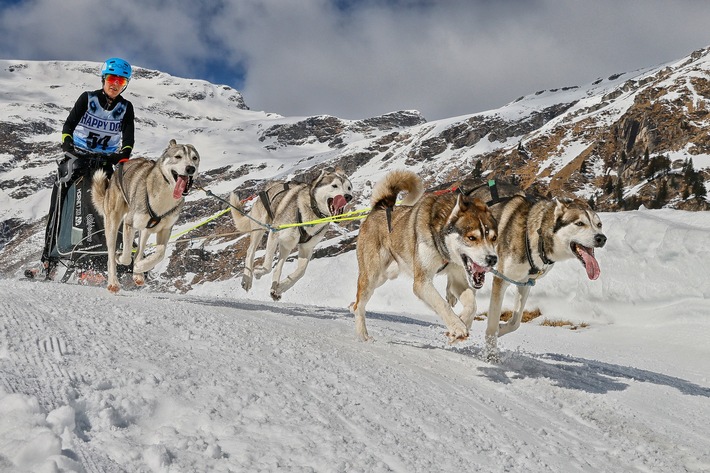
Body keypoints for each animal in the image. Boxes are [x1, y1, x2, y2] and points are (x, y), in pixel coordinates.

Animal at [92, 138, 200, 292]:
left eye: (194, 158)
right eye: (178, 156)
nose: (191, 168)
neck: (165, 195)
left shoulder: (165, 229)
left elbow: (160, 253)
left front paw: (140, 267)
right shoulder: (129, 223)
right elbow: (126, 256)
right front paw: (122, 258)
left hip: (146, 230)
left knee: (139, 251)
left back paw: (138, 273)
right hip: (113, 223)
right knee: (111, 255)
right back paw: (113, 282)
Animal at [232, 167, 354, 298]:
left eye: (348, 188)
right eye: (334, 185)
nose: (348, 197)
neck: (312, 213)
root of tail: (271, 185)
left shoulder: (306, 248)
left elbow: (301, 271)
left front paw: (281, 287)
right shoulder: (274, 234)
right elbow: (268, 265)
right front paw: (258, 272)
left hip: (287, 245)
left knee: (278, 267)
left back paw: (275, 288)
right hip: (260, 228)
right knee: (251, 251)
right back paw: (247, 280)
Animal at [352, 170, 500, 342]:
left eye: (494, 238)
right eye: (471, 237)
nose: (492, 259)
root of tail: (381, 207)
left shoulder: (458, 279)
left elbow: (472, 305)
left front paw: (463, 320)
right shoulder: (422, 283)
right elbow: (441, 304)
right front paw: (457, 327)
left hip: (384, 276)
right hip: (372, 276)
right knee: (359, 305)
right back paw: (362, 334)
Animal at [468, 180, 608, 358]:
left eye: (599, 225)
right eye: (579, 223)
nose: (601, 238)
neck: (537, 235)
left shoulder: (524, 283)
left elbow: (516, 322)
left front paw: (502, 328)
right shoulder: (501, 279)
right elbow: (492, 323)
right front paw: (491, 355)